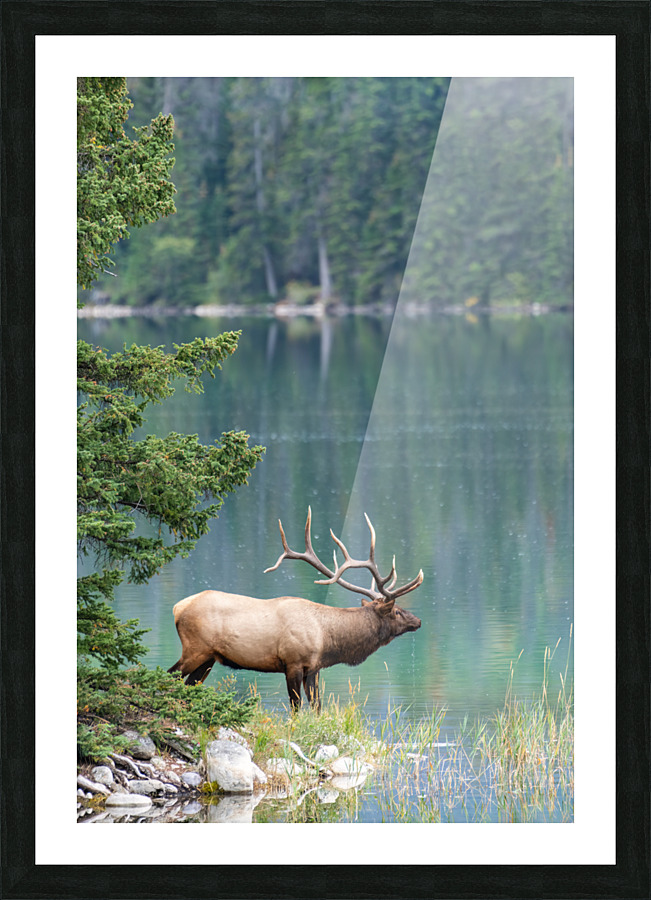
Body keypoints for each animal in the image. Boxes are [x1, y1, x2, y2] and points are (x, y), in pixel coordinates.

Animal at [168, 508, 423, 710]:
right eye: (397, 611)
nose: (418, 621)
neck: (327, 638)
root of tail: (177, 608)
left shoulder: (314, 668)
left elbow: (317, 706)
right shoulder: (292, 663)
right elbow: (296, 707)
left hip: (209, 658)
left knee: (188, 685)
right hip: (195, 649)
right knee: (170, 675)